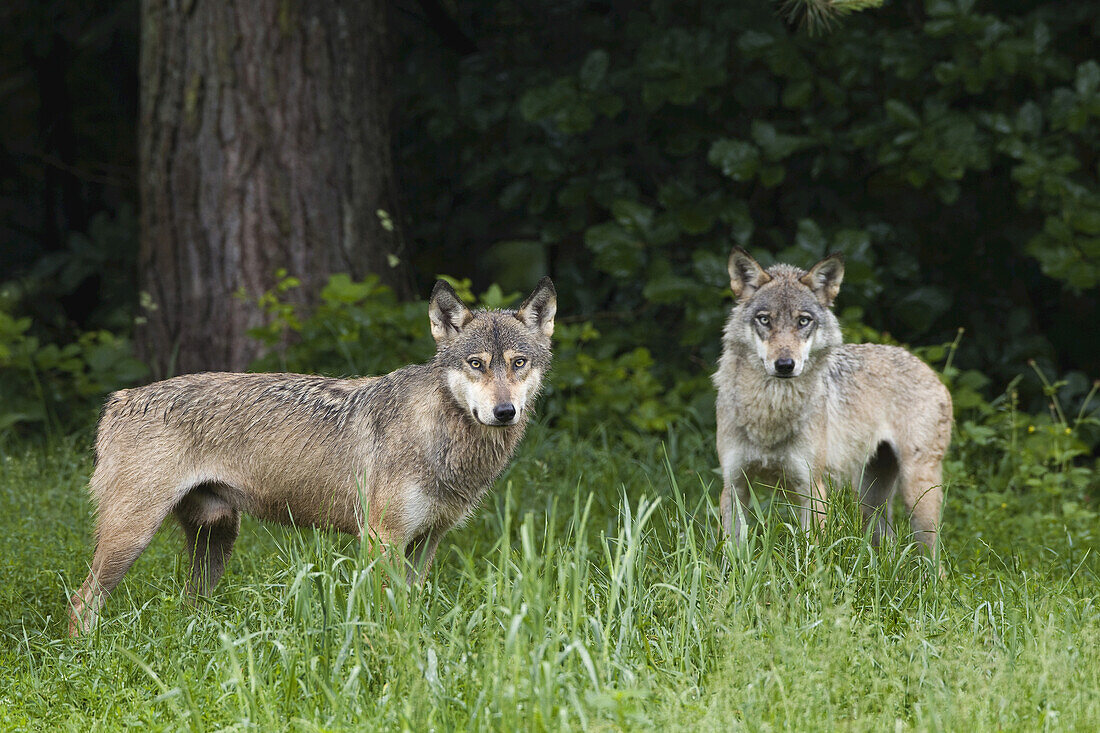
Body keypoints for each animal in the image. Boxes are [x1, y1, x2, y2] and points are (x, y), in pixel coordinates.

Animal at [66, 277, 558, 629]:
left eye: (518, 363)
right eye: (477, 364)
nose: (505, 412)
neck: (440, 434)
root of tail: (118, 400)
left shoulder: (426, 543)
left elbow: (411, 612)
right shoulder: (381, 541)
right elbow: (387, 618)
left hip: (217, 539)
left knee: (189, 606)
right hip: (133, 537)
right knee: (80, 602)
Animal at [717, 248, 950, 561]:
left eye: (803, 321)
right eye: (764, 320)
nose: (785, 364)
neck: (770, 414)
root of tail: (926, 367)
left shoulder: (811, 487)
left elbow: (809, 554)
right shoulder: (734, 485)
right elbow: (732, 554)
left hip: (916, 496)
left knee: (935, 560)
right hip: (869, 502)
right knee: (888, 547)